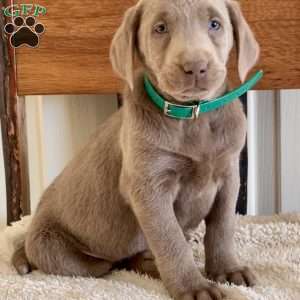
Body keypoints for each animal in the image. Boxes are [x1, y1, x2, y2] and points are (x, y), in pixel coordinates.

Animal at [12, 1, 258, 298]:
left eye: (215, 24)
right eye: (160, 28)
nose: (195, 66)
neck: (193, 117)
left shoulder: (229, 174)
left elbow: (222, 226)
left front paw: (228, 270)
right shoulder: (149, 187)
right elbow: (170, 240)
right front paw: (194, 286)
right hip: (61, 251)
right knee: (114, 262)